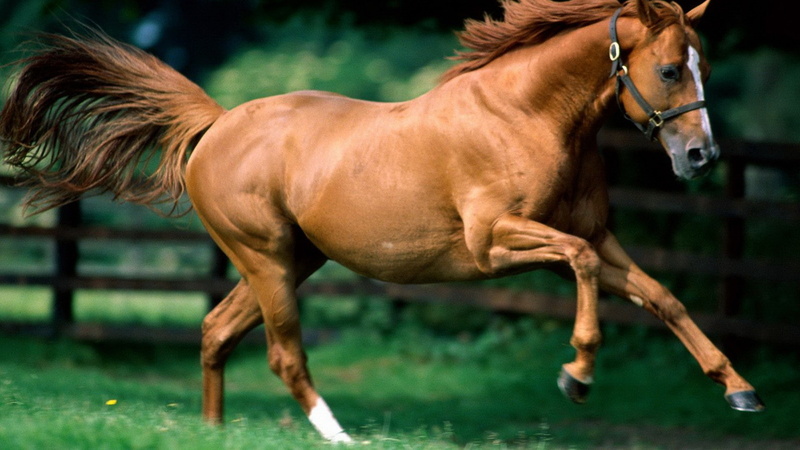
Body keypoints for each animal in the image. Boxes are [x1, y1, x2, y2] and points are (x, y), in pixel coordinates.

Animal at [0, 0, 764, 443]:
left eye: (703, 63)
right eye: (669, 70)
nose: (701, 156)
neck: (526, 116)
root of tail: (216, 124)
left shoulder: (602, 237)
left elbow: (663, 297)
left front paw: (739, 390)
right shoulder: (495, 244)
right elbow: (576, 264)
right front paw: (575, 374)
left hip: (293, 260)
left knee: (216, 329)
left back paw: (212, 431)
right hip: (266, 258)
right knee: (283, 353)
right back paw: (339, 437)